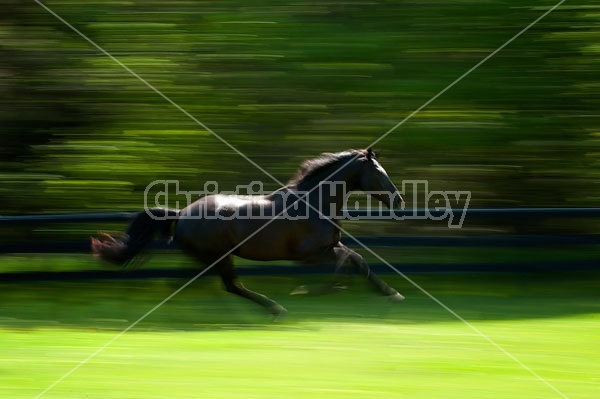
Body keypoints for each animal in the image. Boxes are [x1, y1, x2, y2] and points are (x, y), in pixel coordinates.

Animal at [91, 148, 406, 320]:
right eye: (379, 172)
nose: (399, 201)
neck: (313, 203)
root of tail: (181, 214)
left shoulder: (330, 247)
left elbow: (358, 260)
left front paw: (392, 294)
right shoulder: (310, 255)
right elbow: (347, 263)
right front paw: (316, 290)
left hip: (205, 259)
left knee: (188, 284)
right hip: (219, 257)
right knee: (231, 286)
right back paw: (275, 309)